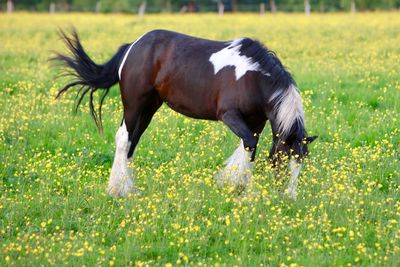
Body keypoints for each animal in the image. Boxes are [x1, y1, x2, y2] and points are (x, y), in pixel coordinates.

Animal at [54, 29, 316, 201]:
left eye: (301, 161)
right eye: (283, 160)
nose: (291, 197)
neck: (253, 76)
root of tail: (133, 46)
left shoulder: (257, 121)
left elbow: (248, 148)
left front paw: (235, 184)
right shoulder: (229, 115)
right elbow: (249, 145)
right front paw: (244, 190)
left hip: (149, 107)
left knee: (132, 143)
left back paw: (128, 188)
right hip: (134, 104)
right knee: (123, 140)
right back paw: (118, 190)